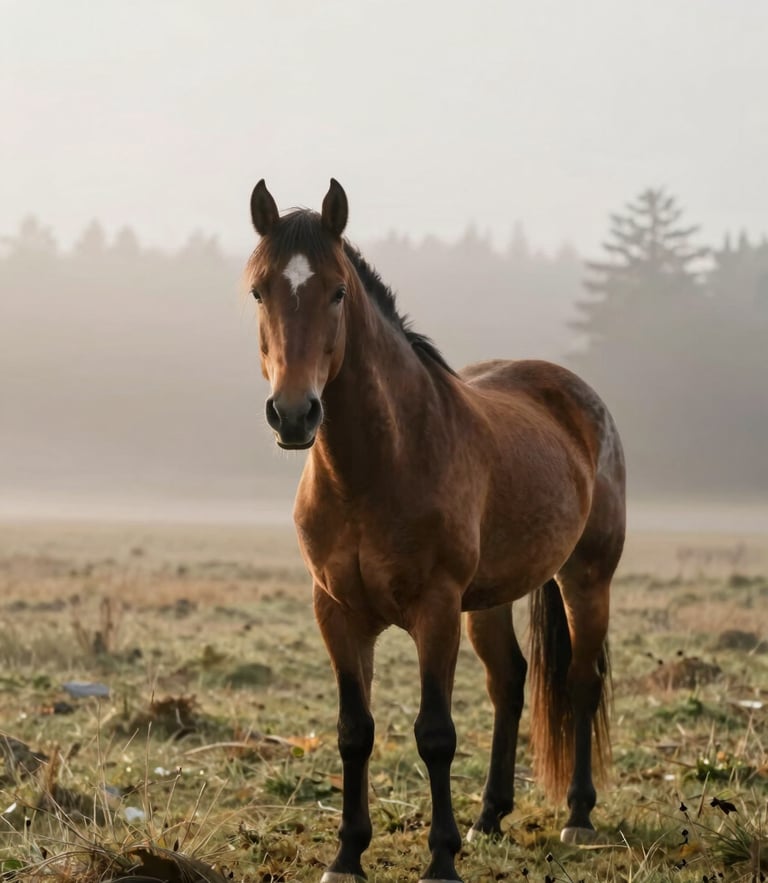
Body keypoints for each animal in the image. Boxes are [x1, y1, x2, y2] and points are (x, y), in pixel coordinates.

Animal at [244, 179, 626, 883]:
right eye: (259, 291)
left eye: (337, 291)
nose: (294, 413)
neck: (377, 467)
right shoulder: (336, 611)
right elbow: (355, 730)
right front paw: (347, 854)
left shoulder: (436, 609)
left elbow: (436, 734)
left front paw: (441, 858)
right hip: (492, 598)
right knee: (510, 682)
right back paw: (490, 816)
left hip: (586, 579)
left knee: (581, 683)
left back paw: (579, 816)